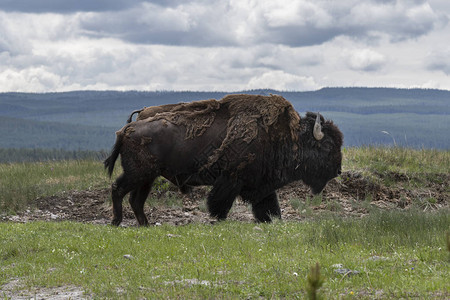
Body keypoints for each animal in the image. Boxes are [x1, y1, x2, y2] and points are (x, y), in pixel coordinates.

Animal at [103, 94, 342, 225]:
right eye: (328, 146)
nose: (338, 170)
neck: (289, 137)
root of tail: (126, 130)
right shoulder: (231, 181)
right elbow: (220, 204)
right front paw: (218, 218)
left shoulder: (261, 185)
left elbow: (269, 206)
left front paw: (270, 219)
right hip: (137, 173)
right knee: (118, 189)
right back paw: (116, 221)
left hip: (147, 177)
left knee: (136, 200)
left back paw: (146, 224)